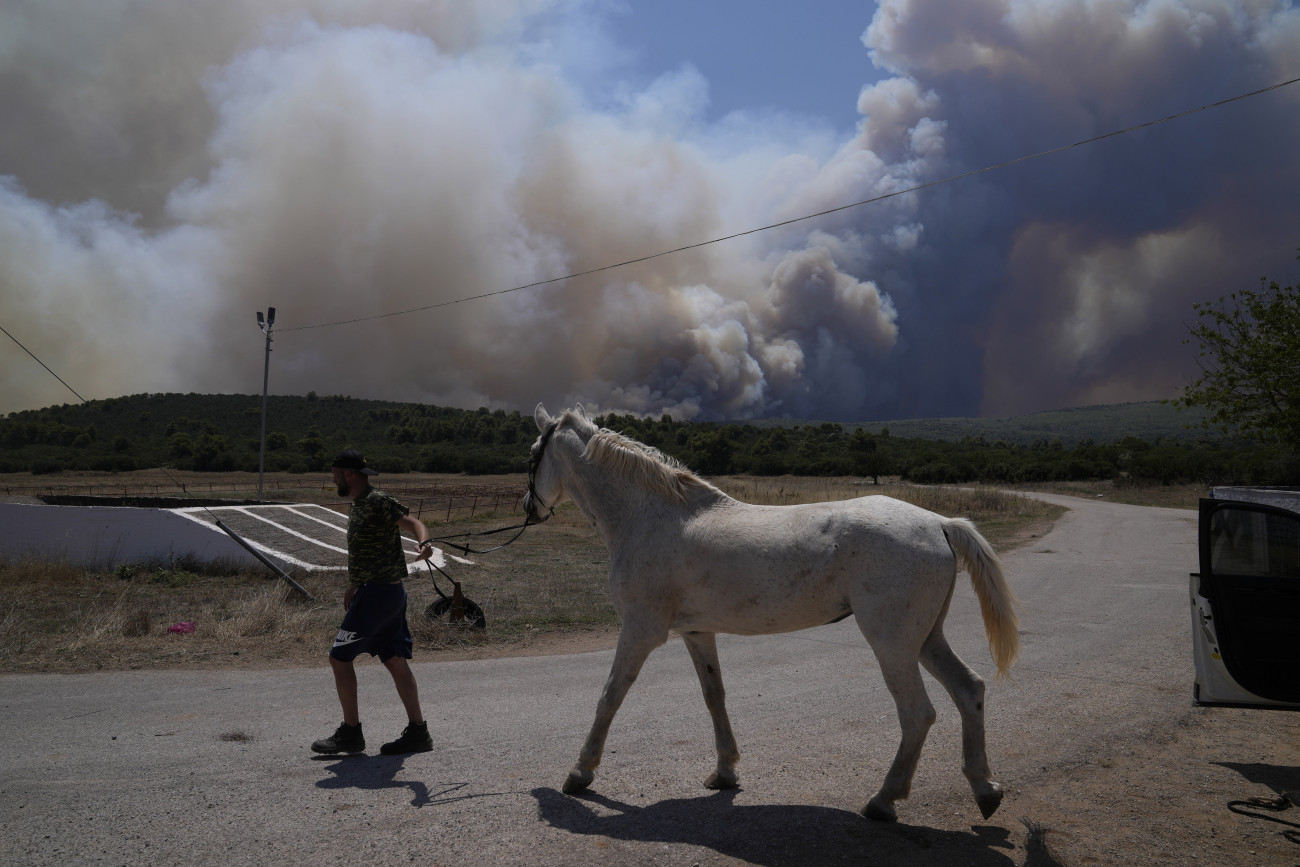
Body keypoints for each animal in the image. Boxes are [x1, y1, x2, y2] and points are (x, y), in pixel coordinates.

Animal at [522, 402, 1019, 826]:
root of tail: (939, 523)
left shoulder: (640, 631)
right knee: (969, 690)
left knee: (917, 714)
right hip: (926, 638)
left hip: (893, 643)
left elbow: (610, 696)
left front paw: (580, 773)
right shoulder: (697, 633)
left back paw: (883, 800)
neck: (652, 517)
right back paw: (985, 790)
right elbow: (714, 696)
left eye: (532, 455)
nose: (529, 509)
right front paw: (724, 772)